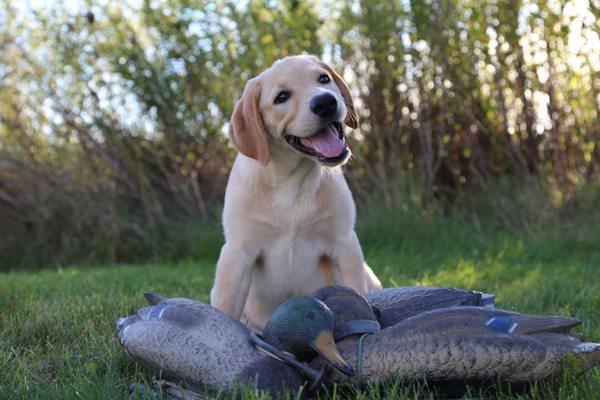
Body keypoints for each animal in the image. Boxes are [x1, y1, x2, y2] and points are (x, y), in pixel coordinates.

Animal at [209, 55, 382, 332]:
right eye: (281, 97)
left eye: (324, 78)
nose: (325, 103)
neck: (293, 181)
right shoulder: (238, 252)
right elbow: (225, 306)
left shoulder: (344, 243)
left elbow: (355, 289)